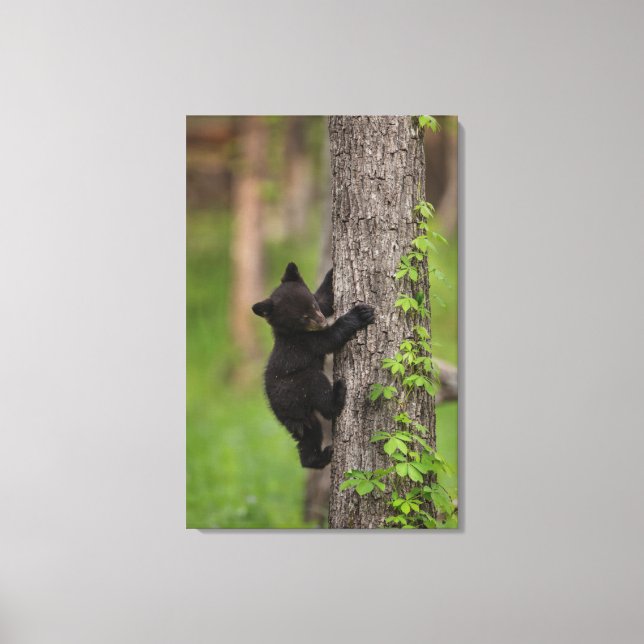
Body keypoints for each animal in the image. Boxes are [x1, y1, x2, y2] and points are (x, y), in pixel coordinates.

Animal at [252, 262, 375, 468]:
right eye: (302, 317)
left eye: (312, 305)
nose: (322, 322)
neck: (293, 332)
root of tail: (280, 410)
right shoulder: (305, 342)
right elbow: (330, 338)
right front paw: (358, 314)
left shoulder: (319, 309)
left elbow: (325, 299)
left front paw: (332, 273)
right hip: (297, 386)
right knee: (319, 391)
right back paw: (337, 396)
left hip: (302, 419)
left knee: (309, 435)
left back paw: (318, 458)